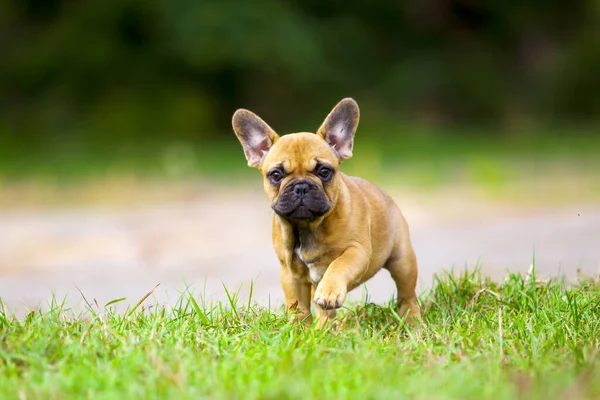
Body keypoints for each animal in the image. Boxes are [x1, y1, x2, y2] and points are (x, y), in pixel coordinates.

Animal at [231, 98, 422, 326]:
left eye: (324, 172)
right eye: (276, 175)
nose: (301, 187)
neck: (306, 228)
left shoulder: (356, 251)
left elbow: (338, 265)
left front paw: (329, 292)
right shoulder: (290, 274)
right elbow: (297, 306)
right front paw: (300, 330)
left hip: (402, 260)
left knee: (407, 294)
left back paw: (412, 320)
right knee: (324, 313)